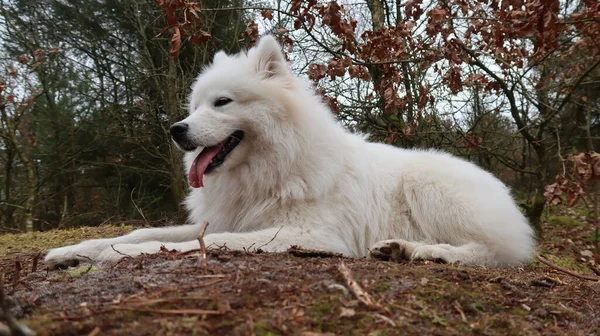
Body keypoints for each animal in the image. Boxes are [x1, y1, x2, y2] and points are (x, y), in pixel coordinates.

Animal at [47, 36, 536, 268]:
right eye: (195, 106)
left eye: (222, 102)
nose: (176, 130)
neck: (272, 164)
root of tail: (507, 194)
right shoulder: (227, 218)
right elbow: (143, 232)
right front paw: (76, 250)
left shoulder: (306, 234)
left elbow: (197, 244)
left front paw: (114, 257)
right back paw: (396, 248)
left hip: (430, 190)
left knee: (491, 253)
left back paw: (421, 251)